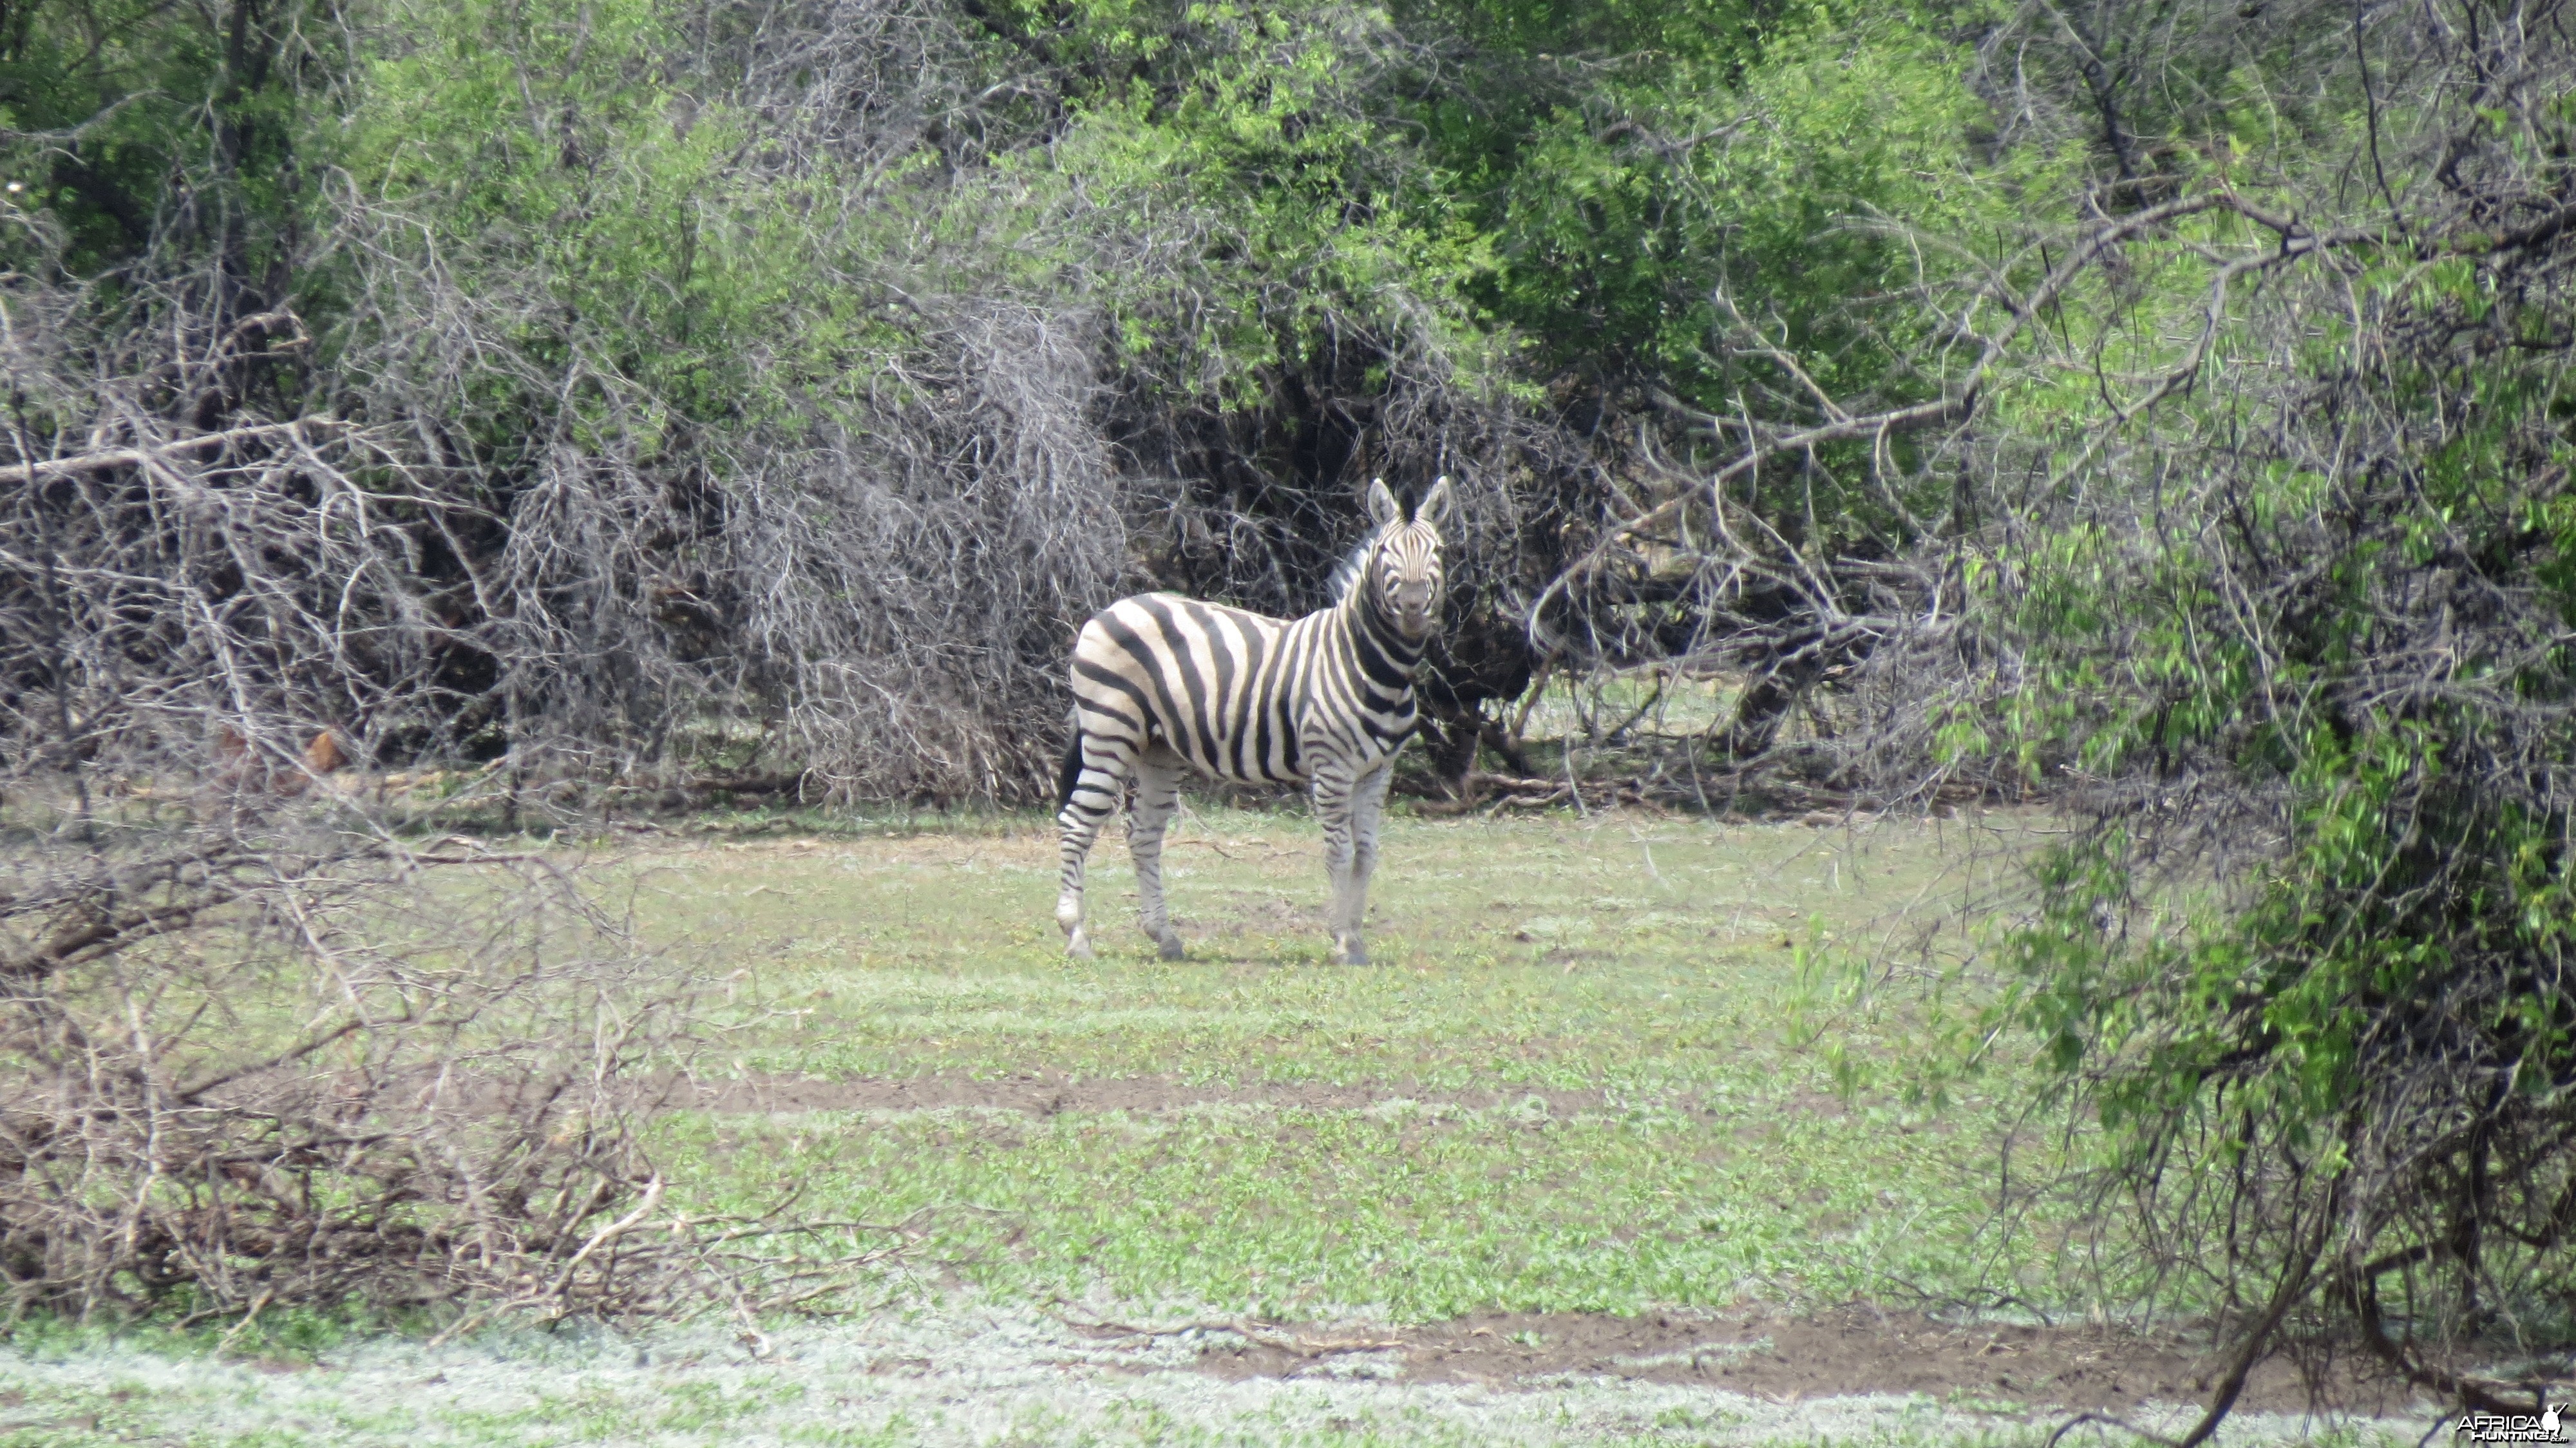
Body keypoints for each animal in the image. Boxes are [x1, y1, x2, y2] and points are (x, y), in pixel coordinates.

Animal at [1046, 479, 1453, 964]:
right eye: (1387, 550)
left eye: (1438, 550)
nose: (1412, 609)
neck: (1373, 666)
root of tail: (1110, 610)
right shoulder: (1332, 767)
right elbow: (1339, 851)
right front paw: (1340, 941)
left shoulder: (1379, 770)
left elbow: (1368, 852)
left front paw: (1357, 941)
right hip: (1110, 732)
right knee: (1077, 822)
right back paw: (1076, 935)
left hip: (1159, 750)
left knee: (1143, 832)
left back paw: (1164, 936)